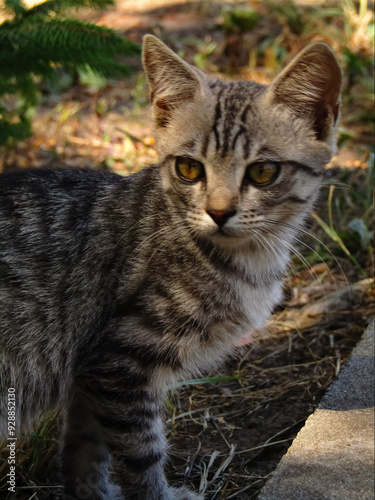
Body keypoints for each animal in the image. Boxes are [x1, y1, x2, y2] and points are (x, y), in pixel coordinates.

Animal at [0, 36, 340, 500]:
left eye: (264, 172)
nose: (219, 212)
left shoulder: (90, 373)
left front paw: (92, 492)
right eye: (189, 168)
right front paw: (155, 494)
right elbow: (142, 451)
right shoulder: (119, 363)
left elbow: (86, 446)